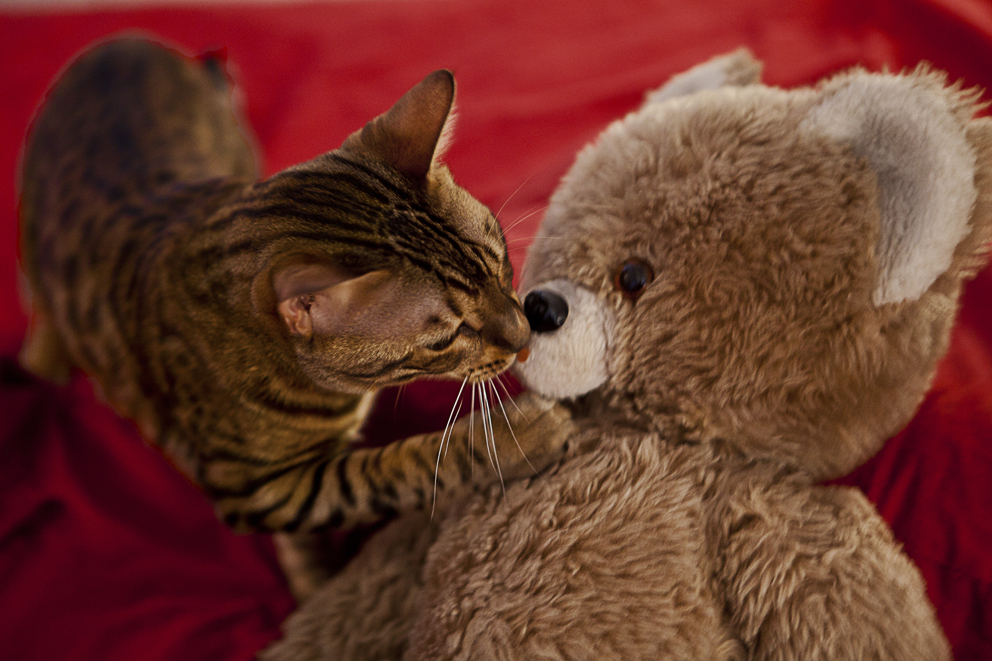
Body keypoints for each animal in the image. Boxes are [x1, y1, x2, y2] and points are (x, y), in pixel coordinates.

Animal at [19, 38, 568, 600]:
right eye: (448, 338)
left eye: (502, 264)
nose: (525, 335)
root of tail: (122, 43)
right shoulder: (261, 490)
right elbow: (384, 472)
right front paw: (512, 437)